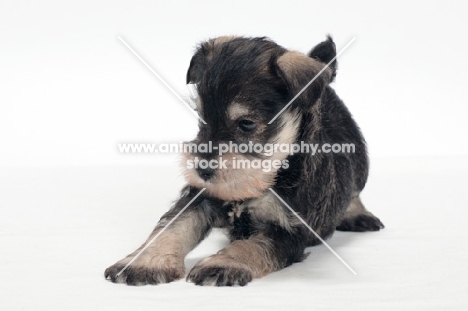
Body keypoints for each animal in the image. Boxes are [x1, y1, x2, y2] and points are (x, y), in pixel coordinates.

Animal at [105, 36, 384, 288]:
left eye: (247, 124)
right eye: (200, 116)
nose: (201, 169)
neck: (269, 175)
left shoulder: (288, 230)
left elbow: (251, 246)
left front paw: (223, 264)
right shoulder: (201, 197)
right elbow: (172, 227)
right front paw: (145, 262)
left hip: (360, 163)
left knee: (355, 191)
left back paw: (358, 215)